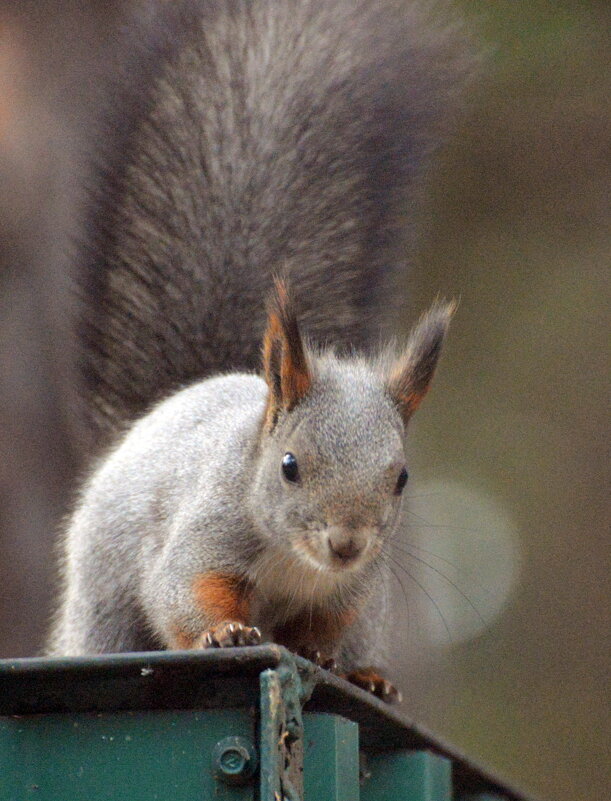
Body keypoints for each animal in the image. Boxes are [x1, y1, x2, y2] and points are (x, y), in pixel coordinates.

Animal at [50, 0, 476, 700]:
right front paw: (225, 634)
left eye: (402, 478)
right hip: (103, 604)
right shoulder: (201, 539)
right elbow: (184, 594)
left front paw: (325, 656)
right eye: (289, 466)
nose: (347, 544)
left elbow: (327, 626)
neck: (296, 563)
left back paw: (370, 676)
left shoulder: (352, 592)